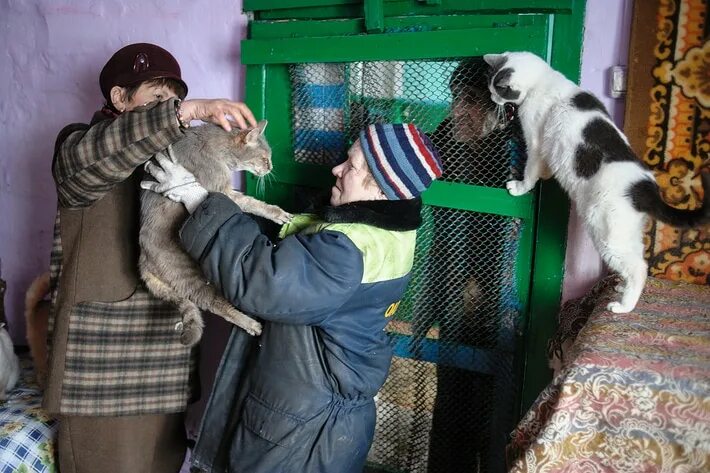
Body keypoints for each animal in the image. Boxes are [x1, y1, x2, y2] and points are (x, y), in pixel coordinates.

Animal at [140, 120, 290, 344]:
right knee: (213, 303)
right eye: (265, 158)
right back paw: (250, 323)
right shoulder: (221, 190)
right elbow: (251, 203)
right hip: (189, 275)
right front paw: (276, 212)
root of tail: (142, 261)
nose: (271, 167)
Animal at [486, 50, 708, 314]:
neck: (545, 79)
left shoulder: (536, 142)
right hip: (627, 232)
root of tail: (645, 188)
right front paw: (547, 174)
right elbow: (544, 167)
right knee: (638, 259)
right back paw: (621, 288)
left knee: (639, 269)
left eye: (497, 89)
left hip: (607, 236)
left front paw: (519, 187)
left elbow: (531, 169)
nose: (491, 96)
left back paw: (623, 306)